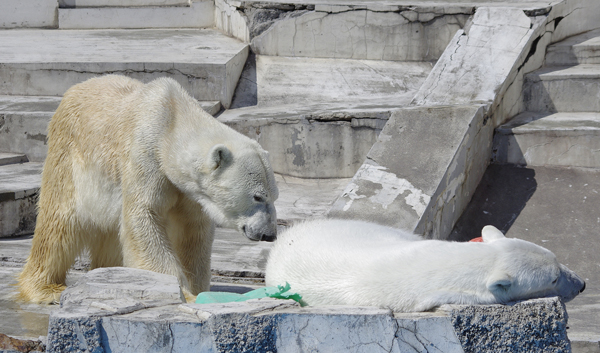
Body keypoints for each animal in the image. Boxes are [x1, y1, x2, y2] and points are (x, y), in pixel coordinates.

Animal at [19, 74, 278, 302]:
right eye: (258, 196)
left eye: (274, 196)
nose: (270, 234)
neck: (173, 118)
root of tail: (70, 92)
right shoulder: (145, 156)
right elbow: (144, 217)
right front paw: (185, 294)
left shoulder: (188, 191)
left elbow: (192, 232)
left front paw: (198, 289)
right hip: (69, 157)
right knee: (59, 224)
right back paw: (46, 289)